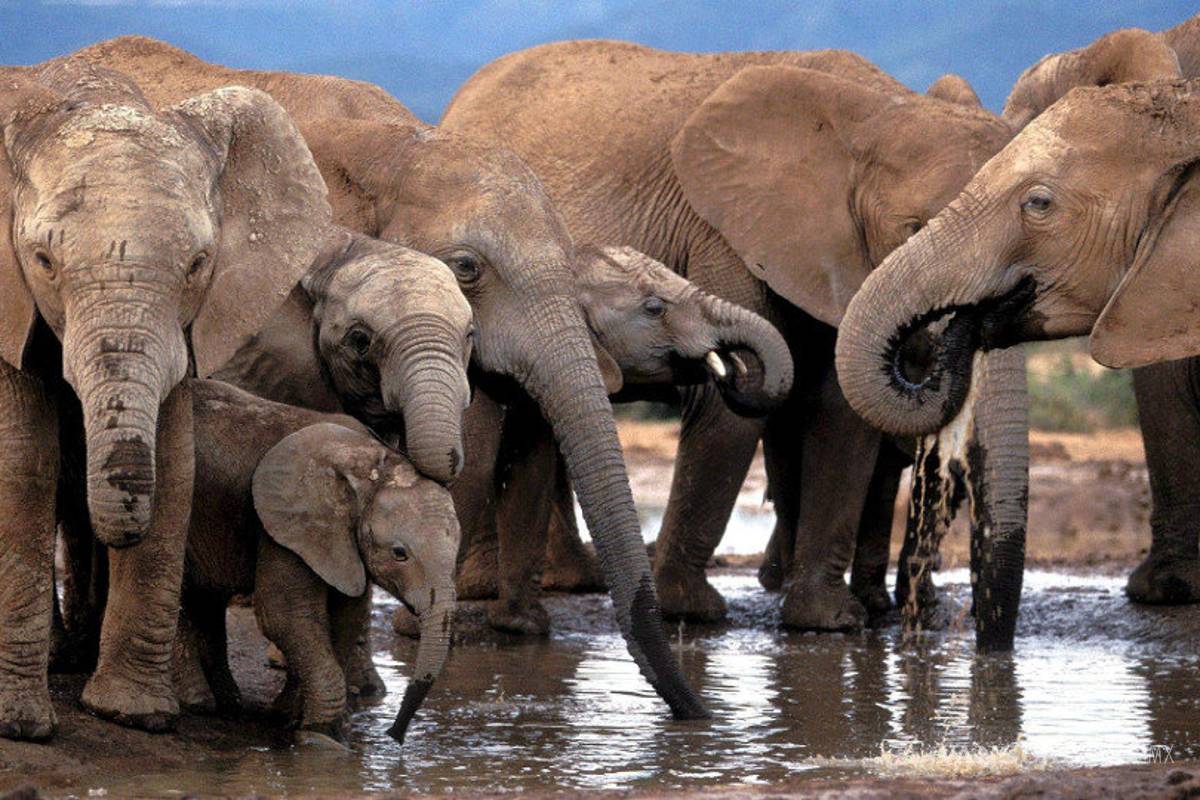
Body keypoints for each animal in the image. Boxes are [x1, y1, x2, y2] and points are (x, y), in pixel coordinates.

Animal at [0, 59, 330, 739]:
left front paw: (130, 715)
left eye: (199, 264)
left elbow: (176, 467)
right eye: (43, 260)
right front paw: (20, 726)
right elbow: (20, 467)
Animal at [172, 379, 458, 746]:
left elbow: (345, 617)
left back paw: (227, 703)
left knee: (205, 599)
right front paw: (321, 734)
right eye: (399, 553)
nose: (394, 735)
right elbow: (286, 615)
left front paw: (288, 716)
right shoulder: (284, 526)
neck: (370, 463)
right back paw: (198, 702)